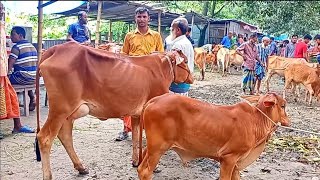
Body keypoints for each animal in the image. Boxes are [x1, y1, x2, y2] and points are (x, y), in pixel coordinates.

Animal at [35, 41, 192, 180]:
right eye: (185, 61)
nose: (191, 77)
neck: (162, 68)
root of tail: (56, 49)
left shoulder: (136, 114)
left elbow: (136, 137)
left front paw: (136, 161)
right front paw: (154, 167)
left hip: (69, 112)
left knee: (65, 135)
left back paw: (81, 167)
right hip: (60, 109)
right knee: (45, 137)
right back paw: (48, 175)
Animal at [138, 93, 290, 180]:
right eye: (283, 106)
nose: (288, 121)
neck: (256, 120)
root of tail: (154, 100)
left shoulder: (236, 163)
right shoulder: (228, 158)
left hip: (151, 148)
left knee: (140, 168)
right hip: (158, 148)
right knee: (146, 172)